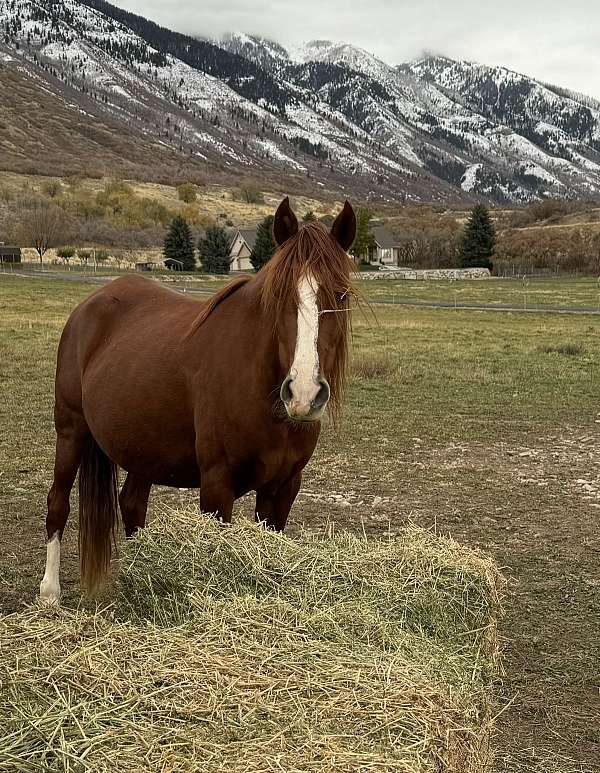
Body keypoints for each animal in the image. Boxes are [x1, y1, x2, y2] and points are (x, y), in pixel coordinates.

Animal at [41, 196, 356, 600]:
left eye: (341, 294)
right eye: (278, 295)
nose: (303, 393)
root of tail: (89, 305)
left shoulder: (283, 487)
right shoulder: (217, 487)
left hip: (142, 447)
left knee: (131, 504)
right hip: (71, 431)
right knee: (58, 503)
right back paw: (49, 592)